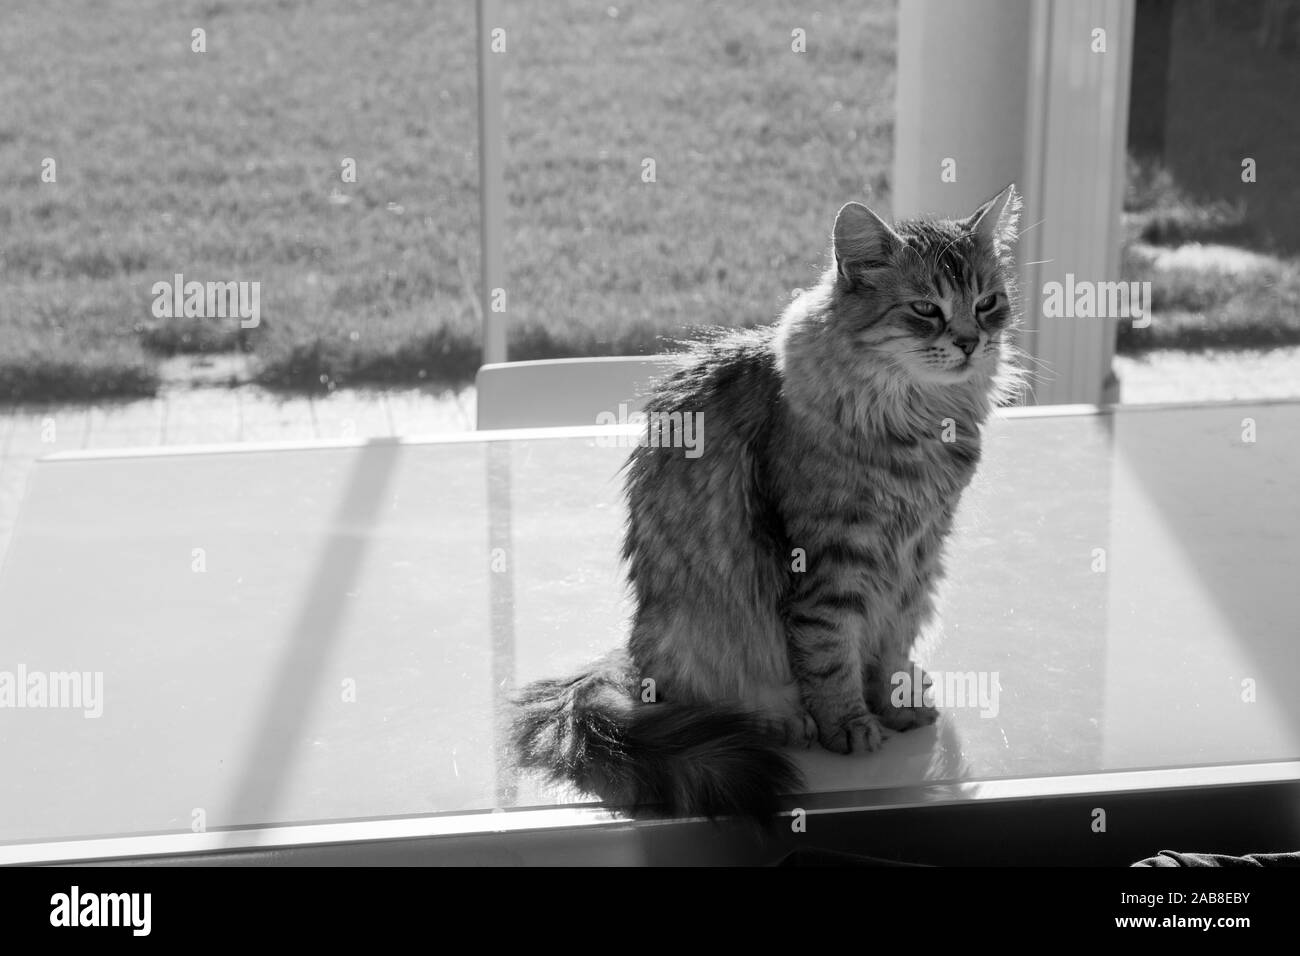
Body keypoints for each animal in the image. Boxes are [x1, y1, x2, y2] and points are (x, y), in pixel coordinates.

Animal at [512, 184, 1019, 822]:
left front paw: (895, 703)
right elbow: (831, 653)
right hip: (702, 634)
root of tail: (633, 658)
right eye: (926, 309)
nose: (972, 342)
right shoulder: (832, 559)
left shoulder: (918, 555)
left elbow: (892, 644)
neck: (921, 423)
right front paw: (848, 725)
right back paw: (785, 719)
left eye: (988, 303)